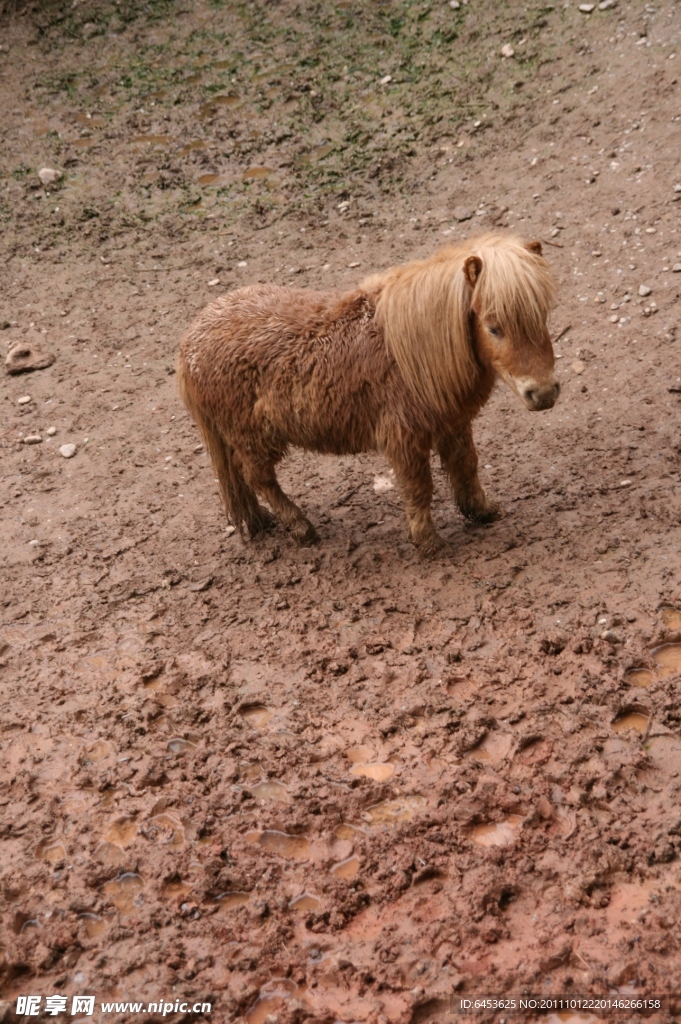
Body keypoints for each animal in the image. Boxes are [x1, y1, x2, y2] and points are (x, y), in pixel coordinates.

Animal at [176, 233, 557, 557]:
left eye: (543, 314)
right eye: (493, 328)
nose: (544, 394)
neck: (410, 353)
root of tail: (190, 341)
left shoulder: (453, 424)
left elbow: (466, 466)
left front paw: (482, 511)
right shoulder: (405, 438)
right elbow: (419, 486)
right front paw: (427, 542)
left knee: (241, 480)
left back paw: (262, 522)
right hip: (254, 438)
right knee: (259, 478)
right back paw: (301, 527)